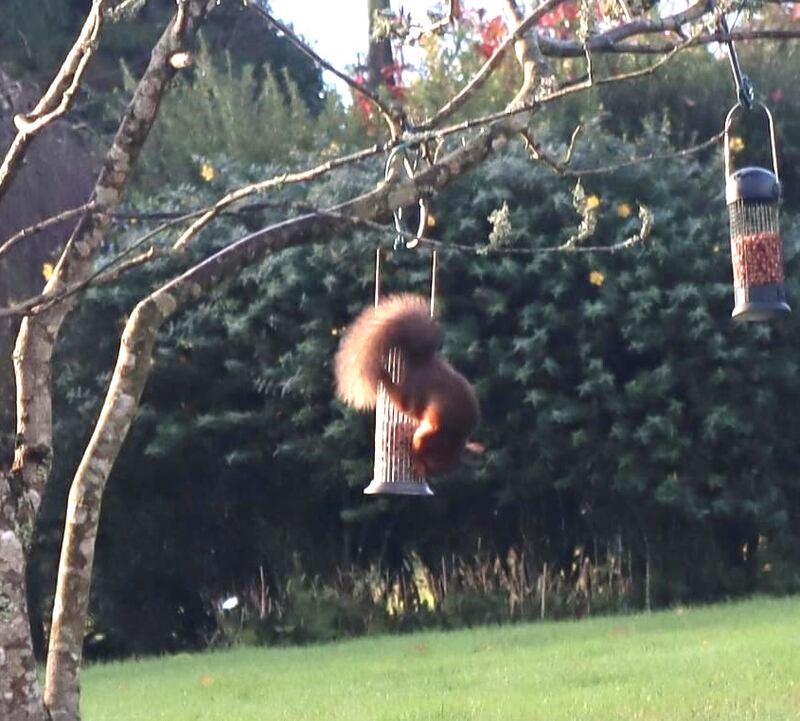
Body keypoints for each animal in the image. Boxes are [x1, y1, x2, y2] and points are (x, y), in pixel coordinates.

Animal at [334, 293, 481, 475]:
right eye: (431, 457)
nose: (426, 472)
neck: (451, 437)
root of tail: (423, 361)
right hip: (414, 396)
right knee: (401, 401)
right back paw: (385, 377)